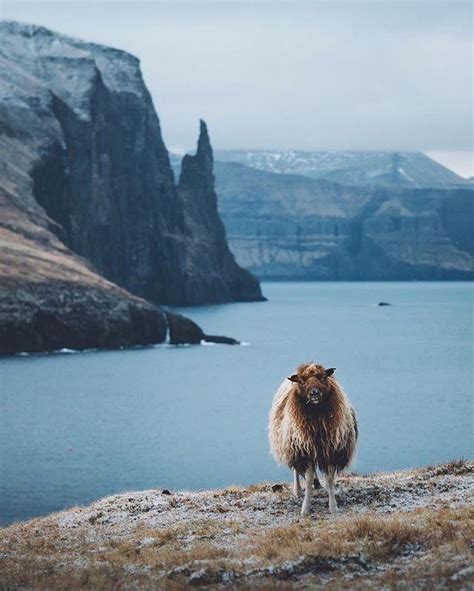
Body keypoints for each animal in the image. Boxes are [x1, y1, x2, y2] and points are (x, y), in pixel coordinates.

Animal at [268, 364, 358, 516]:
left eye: (322, 377)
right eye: (302, 381)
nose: (314, 393)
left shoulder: (330, 451)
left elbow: (329, 479)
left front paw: (333, 507)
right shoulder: (305, 450)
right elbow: (308, 479)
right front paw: (305, 509)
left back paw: (317, 483)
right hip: (292, 445)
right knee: (296, 470)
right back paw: (298, 490)